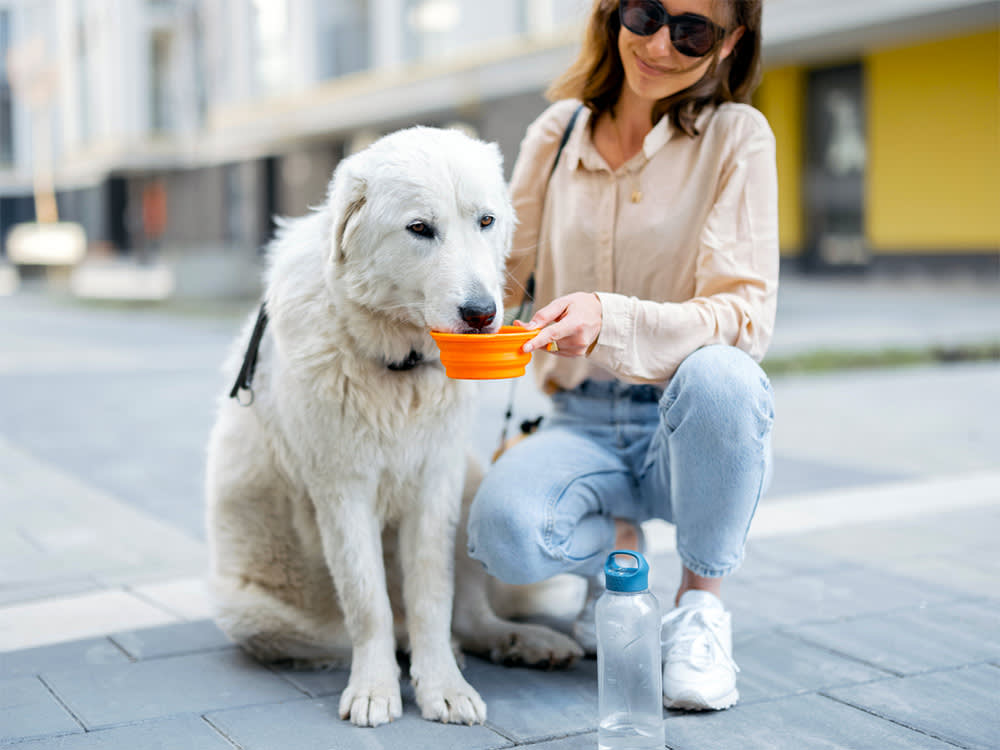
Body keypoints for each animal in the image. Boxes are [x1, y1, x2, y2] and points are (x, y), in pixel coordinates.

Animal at [205, 126, 580, 732]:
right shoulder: (342, 490)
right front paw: (376, 689)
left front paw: (443, 688)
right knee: (360, 627)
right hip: (248, 611)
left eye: (485, 220)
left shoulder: (436, 482)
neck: (395, 363)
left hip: (472, 484)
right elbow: (368, 602)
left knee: (469, 618)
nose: (482, 313)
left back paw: (524, 642)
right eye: (420, 228)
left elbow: (433, 595)